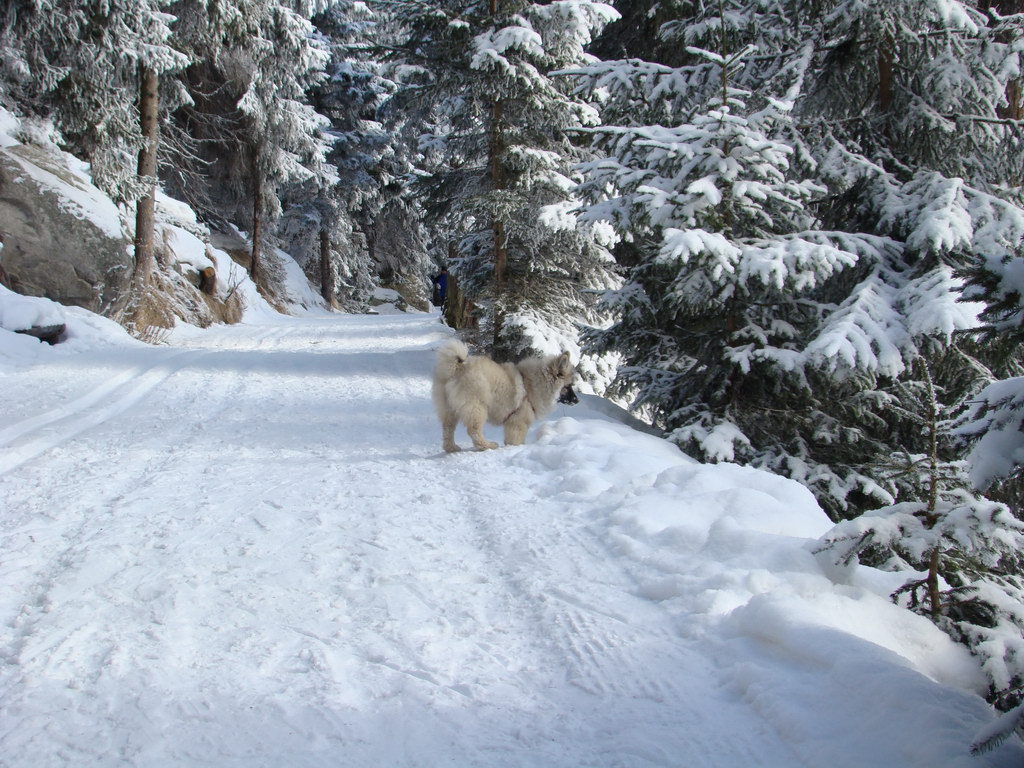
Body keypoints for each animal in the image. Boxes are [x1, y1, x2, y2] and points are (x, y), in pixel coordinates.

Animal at [432, 342, 577, 454]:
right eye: (568, 386)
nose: (577, 400)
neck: (533, 384)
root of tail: (458, 367)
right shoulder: (518, 423)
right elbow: (516, 440)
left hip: (449, 410)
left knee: (448, 430)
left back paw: (451, 448)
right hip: (477, 407)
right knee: (474, 431)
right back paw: (488, 445)